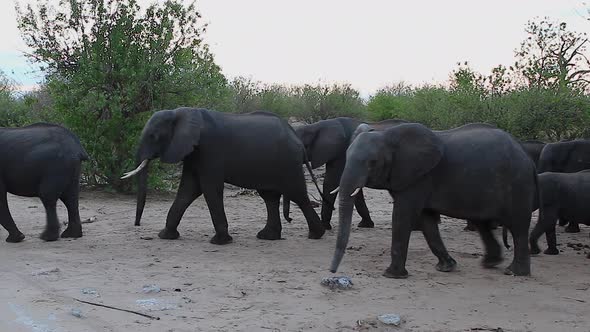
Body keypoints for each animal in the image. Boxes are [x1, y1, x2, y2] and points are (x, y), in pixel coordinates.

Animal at [119, 107, 324, 243]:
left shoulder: (210, 150)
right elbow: (188, 190)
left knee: (297, 195)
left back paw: (316, 235)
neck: (181, 112)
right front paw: (166, 236)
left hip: (288, 164)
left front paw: (220, 241)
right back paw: (268, 237)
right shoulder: (193, 153)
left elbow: (209, 188)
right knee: (270, 197)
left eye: (153, 136)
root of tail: (297, 138)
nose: (137, 225)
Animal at [330, 122, 540, 278]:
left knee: (518, 227)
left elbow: (403, 215)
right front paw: (446, 268)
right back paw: (490, 263)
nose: (332, 271)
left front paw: (391, 275)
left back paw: (514, 272)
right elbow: (426, 221)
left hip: (518, 183)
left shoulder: (419, 177)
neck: (388, 135)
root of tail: (528, 159)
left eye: (372, 163)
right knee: (483, 223)